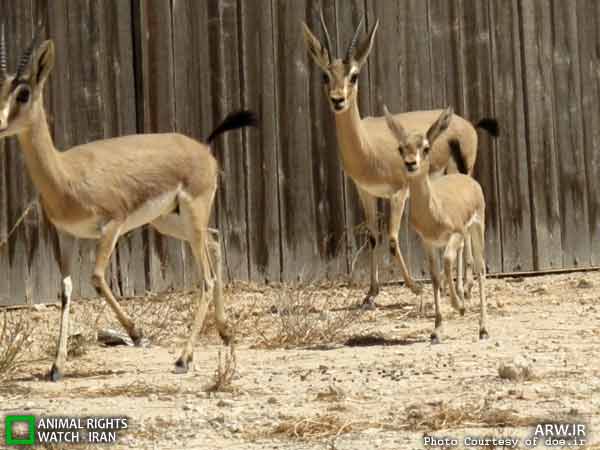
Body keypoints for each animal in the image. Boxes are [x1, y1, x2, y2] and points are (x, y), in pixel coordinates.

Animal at [0, 26, 257, 381]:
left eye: (23, 94)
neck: (66, 174)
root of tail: (203, 148)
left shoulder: (112, 225)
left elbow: (96, 278)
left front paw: (137, 334)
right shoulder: (64, 235)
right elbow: (65, 290)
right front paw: (56, 367)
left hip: (191, 214)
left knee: (206, 278)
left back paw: (183, 359)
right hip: (169, 220)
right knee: (216, 241)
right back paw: (224, 334)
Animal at [302, 14, 498, 309]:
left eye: (354, 75)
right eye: (326, 74)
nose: (338, 100)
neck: (367, 146)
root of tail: (466, 124)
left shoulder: (398, 193)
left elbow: (393, 240)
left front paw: (415, 288)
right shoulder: (366, 191)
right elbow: (373, 237)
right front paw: (370, 294)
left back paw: (464, 288)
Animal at [383, 104, 488, 343]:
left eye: (426, 147)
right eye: (401, 148)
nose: (411, 163)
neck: (433, 211)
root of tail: (467, 179)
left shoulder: (455, 233)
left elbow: (448, 262)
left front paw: (459, 306)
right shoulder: (428, 242)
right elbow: (434, 276)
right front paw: (437, 329)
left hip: (476, 229)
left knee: (480, 268)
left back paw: (483, 328)